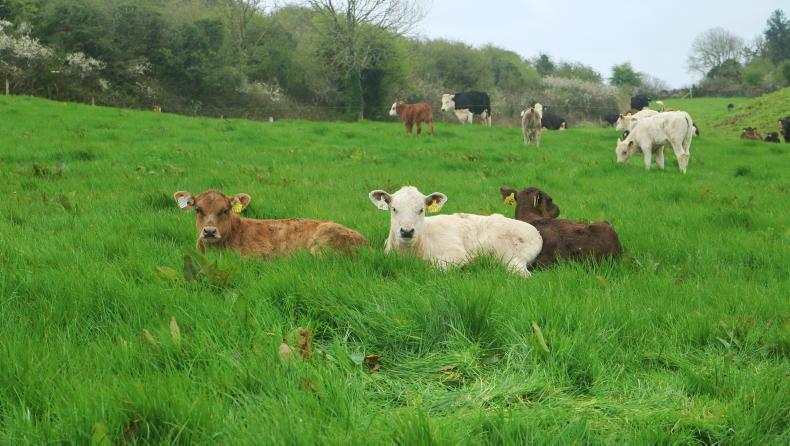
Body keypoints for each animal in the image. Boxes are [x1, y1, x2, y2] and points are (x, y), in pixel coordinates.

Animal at [368, 186, 542, 276]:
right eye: (394, 209)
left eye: (421, 210)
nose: (407, 231)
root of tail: (536, 232)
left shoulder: (456, 253)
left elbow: (435, 268)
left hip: (512, 259)